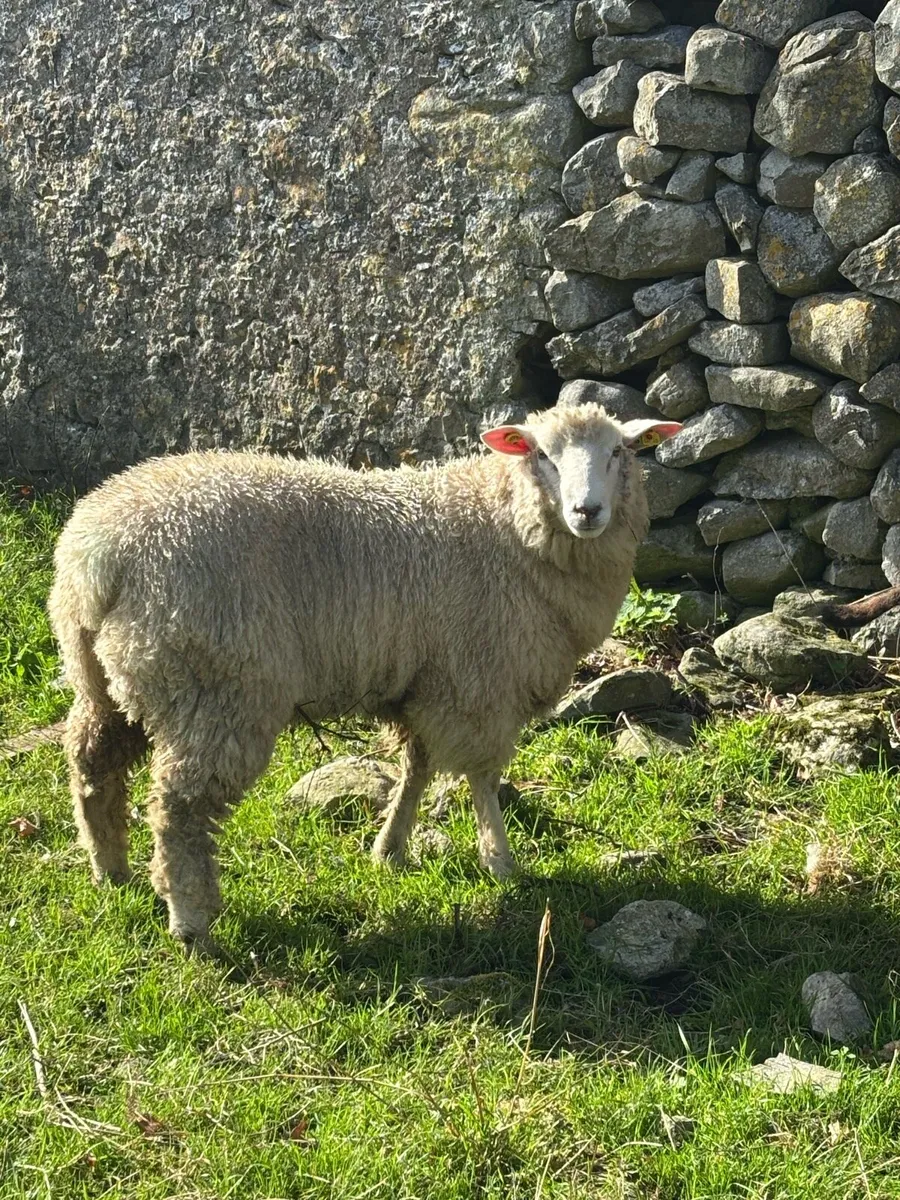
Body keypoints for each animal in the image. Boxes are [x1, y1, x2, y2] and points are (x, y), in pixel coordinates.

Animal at [47, 401, 681, 953]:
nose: (587, 512)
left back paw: (112, 872)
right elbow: (480, 777)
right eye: (543, 454)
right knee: (179, 809)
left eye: (620, 451)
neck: (503, 526)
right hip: (217, 685)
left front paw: (391, 850)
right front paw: (500, 861)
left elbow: (418, 767)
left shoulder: (428, 683)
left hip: (105, 676)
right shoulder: (479, 682)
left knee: (92, 763)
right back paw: (193, 922)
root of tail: (99, 554)